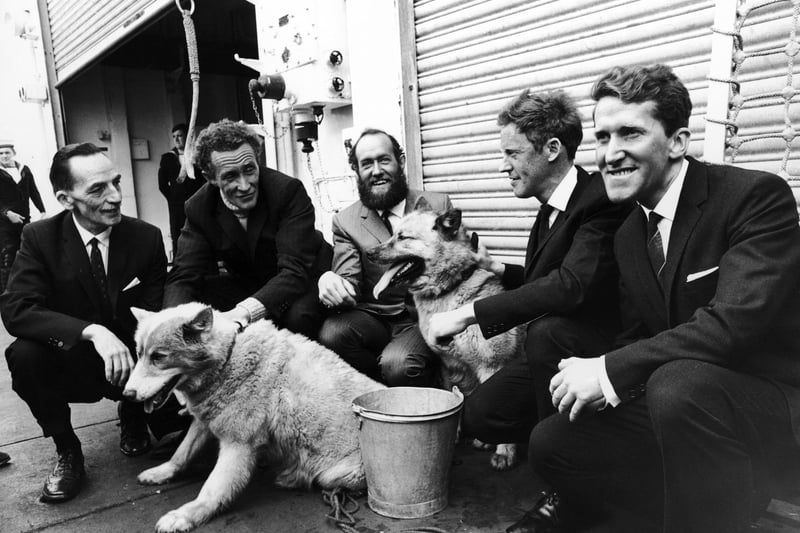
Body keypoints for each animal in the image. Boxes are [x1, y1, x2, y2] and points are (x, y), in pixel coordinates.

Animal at [124, 304, 384, 532]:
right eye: (139, 354)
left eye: (159, 357)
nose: (127, 395)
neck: (228, 359)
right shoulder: (204, 421)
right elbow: (182, 453)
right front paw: (163, 472)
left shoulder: (238, 445)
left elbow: (212, 491)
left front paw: (185, 515)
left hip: (339, 473)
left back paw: (295, 476)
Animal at [368, 206, 524, 468]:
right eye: (393, 234)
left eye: (403, 237)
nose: (369, 253)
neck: (450, 288)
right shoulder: (449, 368)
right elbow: (454, 401)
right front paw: (452, 435)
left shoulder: (494, 365)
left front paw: (504, 451)